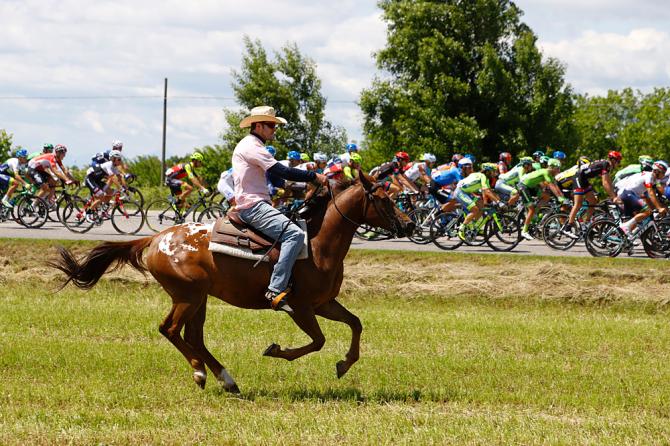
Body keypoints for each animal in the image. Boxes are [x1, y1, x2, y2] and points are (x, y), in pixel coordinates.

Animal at [51, 174, 414, 394]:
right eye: (384, 199)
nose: (409, 224)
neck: (317, 243)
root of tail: (154, 238)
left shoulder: (324, 303)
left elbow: (355, 323)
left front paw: (344, 363)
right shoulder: (299, 307)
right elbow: (318, 341)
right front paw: (277, 350)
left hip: (199, 299)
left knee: (193, 337)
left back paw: (225, 379)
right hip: (187, 296)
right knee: (170, 330)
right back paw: (202, 373)